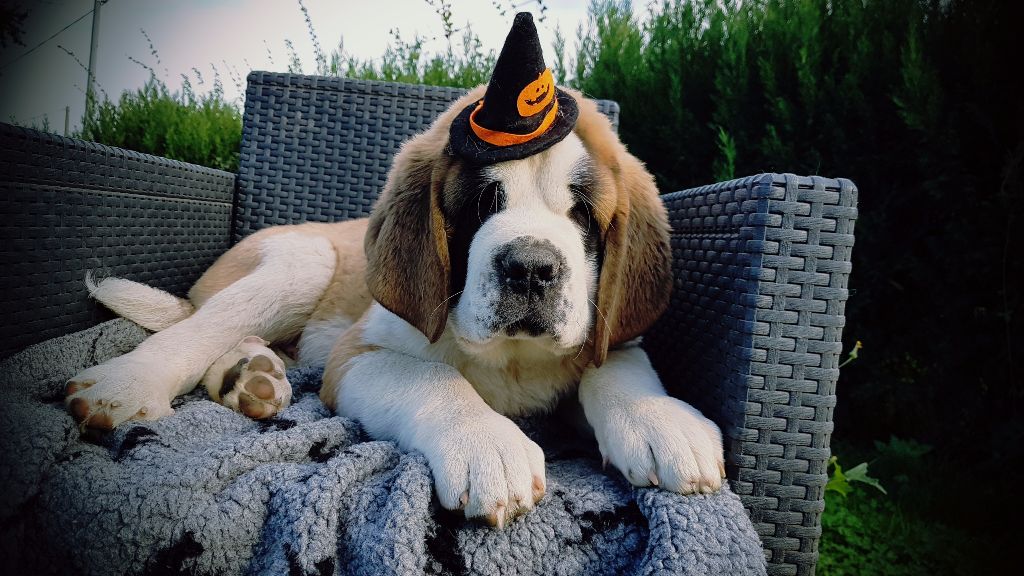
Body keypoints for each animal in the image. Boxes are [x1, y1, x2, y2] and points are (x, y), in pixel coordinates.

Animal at [64, 14, 724, 529]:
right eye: (480, 204)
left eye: (584, 212)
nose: (532, 270)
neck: (511, 360)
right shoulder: (358, 356)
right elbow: (433, 379)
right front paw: (486, 443)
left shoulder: (609, 332)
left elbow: (617, 364)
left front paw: (662, 421)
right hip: (302, 263)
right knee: (198, 328)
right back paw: (128, 385)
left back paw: (250, 376)